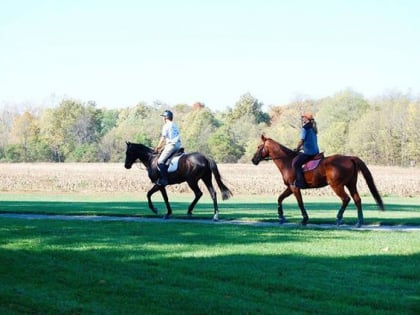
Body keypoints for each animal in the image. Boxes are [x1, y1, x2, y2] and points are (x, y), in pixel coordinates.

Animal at [251, 135, 386, 227]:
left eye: (259, 147)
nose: (253, 160)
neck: (287, 161)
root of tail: (350, 158)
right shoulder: (290, 187)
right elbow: (279, 198)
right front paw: (281, 217)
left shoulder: (294, 187)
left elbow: (300, 203)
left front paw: (304, 219)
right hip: (351, 184)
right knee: (357, 199)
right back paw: (359, 221)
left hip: (337, 185)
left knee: (346, 199)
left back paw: (339, 218)